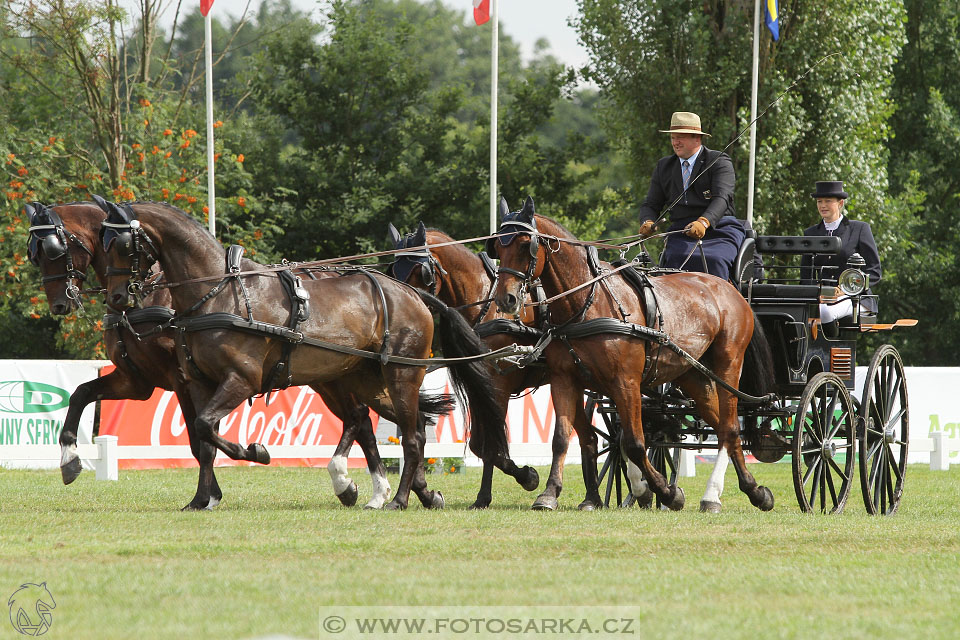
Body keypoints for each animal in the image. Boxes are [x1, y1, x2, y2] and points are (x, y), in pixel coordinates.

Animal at [26, 200, 414, 510]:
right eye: (35, 254)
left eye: (55, 249)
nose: (59, 303)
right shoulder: (138, 381)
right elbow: (81, 393)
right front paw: (70, 459)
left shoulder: (185, 380)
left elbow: (201, 439)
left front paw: (217, 486)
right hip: (329, 376)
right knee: (362, 419)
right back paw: (370, 489)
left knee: (367, 419)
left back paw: (376, 489)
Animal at [99, 200, 502, 510]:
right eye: (104, 244)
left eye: (123, 244)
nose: (116, 297)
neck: (217, 292)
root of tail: (413, 294)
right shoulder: (198, 383)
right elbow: (203, 436)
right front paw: (202, 498)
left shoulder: (242, 380)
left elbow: (205, 428)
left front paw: (256, 451)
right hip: (363, 379)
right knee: (395, 423)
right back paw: (409, 493)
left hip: (400, 373)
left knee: (411, 437)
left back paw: (398, 499)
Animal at [492, 198, 776, 512]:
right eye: (497, 247)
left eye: (524, 244)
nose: (506, 299)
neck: (587, 301)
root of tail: (732, 290)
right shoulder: (565, 379)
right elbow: (563, 438)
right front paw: (549, 493)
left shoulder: (625, 382)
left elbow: (635, 443)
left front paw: (666, 492)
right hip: (693, 375)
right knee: (722, 427)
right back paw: (753, 490)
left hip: (729, 366)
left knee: (729, 427)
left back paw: (714, 495)